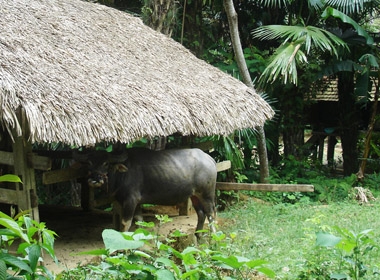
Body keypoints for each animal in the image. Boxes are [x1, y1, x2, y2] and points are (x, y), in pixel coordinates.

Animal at [79, 148, 217, 237]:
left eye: (106, 163)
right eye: (89, 163)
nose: (95, 179)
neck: (122, 175)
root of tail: (209, 158)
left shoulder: (130, 200)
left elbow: (125, 223)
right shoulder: (135, 202)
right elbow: (139, 220)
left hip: (207, 195)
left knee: (211, 214)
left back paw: (214, 238)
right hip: (195, 195)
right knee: (201, 214)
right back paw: (198, 235)